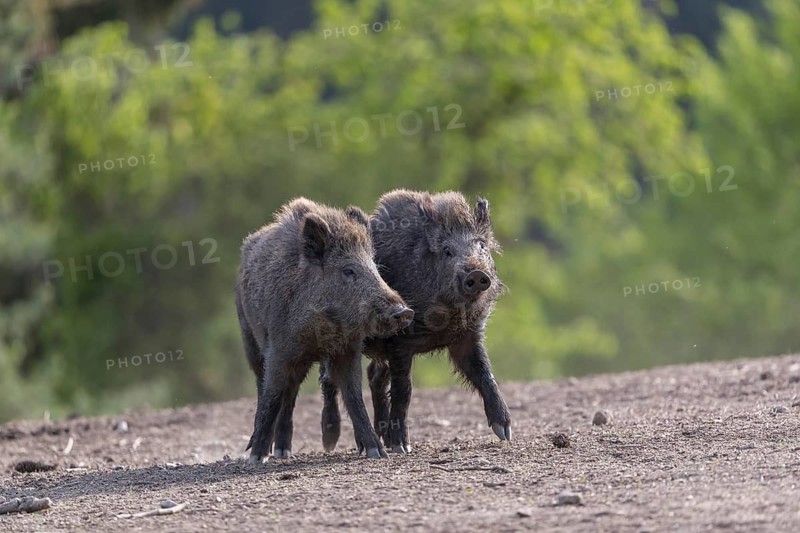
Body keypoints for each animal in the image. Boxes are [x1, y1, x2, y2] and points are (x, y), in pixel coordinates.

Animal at [237, 197, 414, 462]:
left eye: (375, 267)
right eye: (348, 270)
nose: (404, 312)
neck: (324, 331)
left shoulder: (348, 351)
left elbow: (354, 397)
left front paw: (378, 452)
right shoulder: (278, 350)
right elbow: (271, 397)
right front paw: (256, 457)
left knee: (291, 393)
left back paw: (283, 451)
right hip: (250, 341)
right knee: (265, 388)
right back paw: (269, 451)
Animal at [319, 190, 511, 454]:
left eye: (481, 245)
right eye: (447, 251)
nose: (476, 273)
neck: (447, 320)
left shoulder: (468, 336)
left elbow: (484, 373)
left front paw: (506, 432)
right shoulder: (400, 342)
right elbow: (404, 389)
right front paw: (402, 446)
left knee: (373, 376)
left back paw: (381, 438)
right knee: (329, 378)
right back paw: (332, 441)